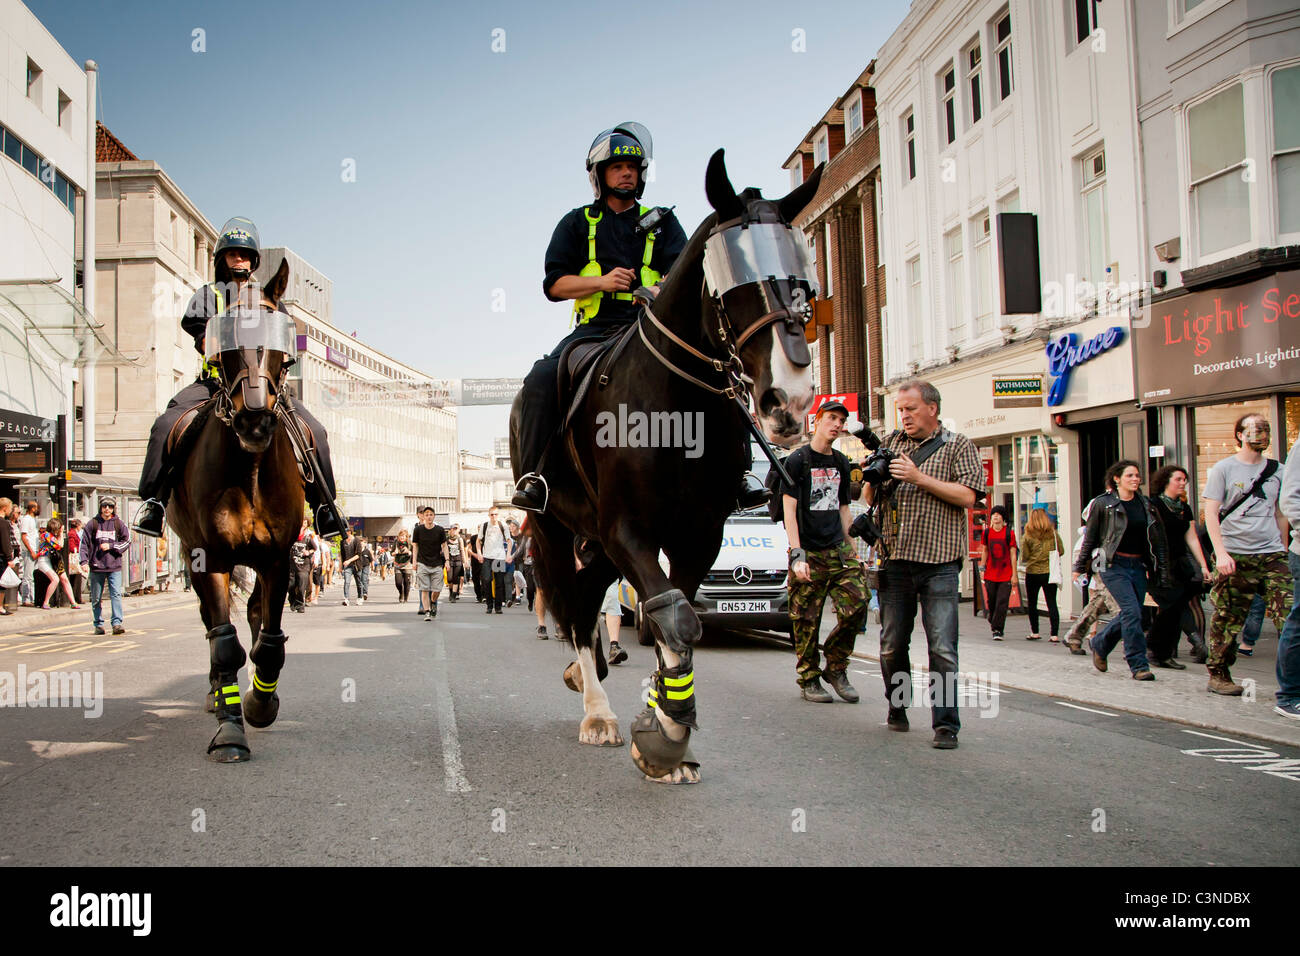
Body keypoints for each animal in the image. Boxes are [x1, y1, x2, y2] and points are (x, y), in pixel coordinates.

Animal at [509, 151, 821, 785]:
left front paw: (663, 719)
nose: (791, 398)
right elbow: (675, 618)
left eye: (802, 281)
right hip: (554, 528)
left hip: (596, 541)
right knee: (572, 606)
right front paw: (666, 736)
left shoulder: (696, 536)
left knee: (587, 600)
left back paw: (589, 677)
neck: (678, 408)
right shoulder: (628, 528)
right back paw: (596, 711)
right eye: (735, 285)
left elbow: (669, 618)